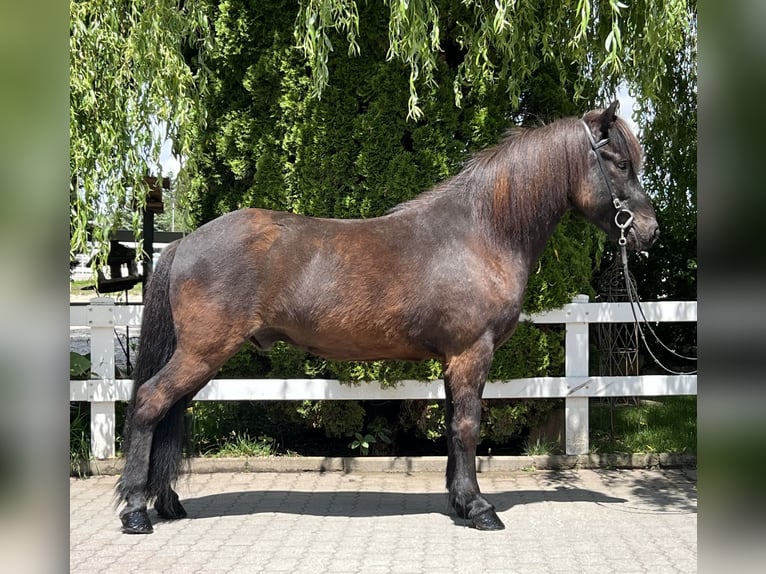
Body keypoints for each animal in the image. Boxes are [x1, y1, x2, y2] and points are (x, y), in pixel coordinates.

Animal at [117, 102, 656, 536]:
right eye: (620, 163)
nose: (649, 230)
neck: (480, 233)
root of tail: (185, 242)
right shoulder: (471, 353)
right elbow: (467, 427)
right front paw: (480, 509)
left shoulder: (453, 360)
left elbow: (453, 427)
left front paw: (459, 501)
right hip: (201, 353)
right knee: (149, 404)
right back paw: (136, 513)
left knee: (168, 411)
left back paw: (167, 503)